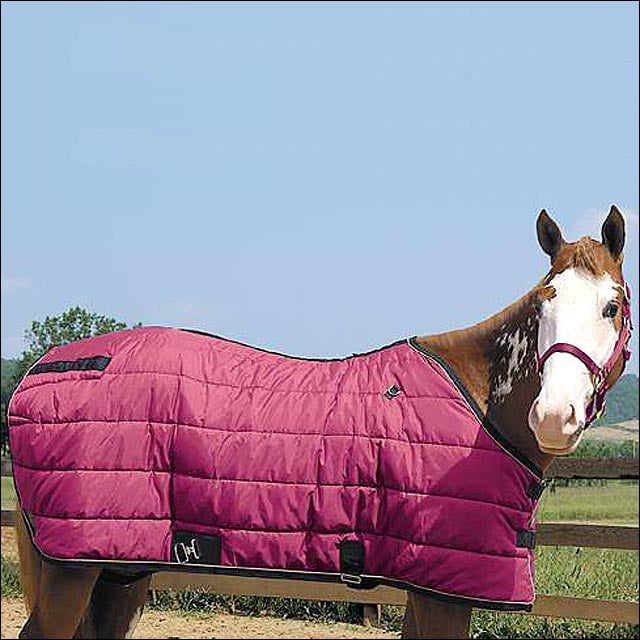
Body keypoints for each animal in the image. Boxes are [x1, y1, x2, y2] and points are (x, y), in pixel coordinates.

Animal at [10, 206, 632, 639]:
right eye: (544, 302)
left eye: (612, 307)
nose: (553, 415)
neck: (477, 405)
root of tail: (45, 365)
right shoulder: (442, 594)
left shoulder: (429, 587)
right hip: (72, 570)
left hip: (118, 569)